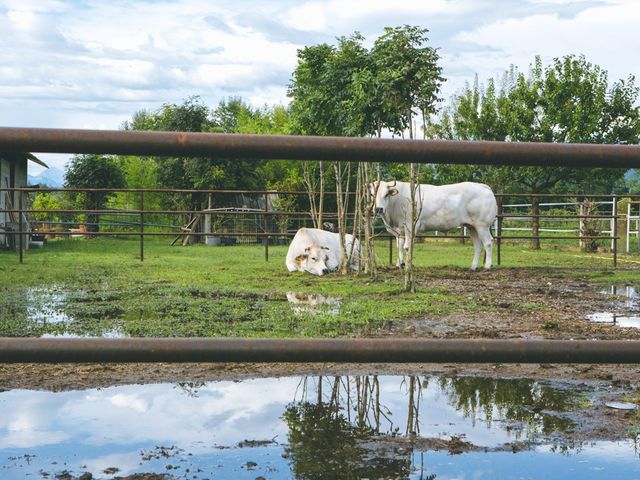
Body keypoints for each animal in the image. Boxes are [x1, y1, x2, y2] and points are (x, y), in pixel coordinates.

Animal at [370, 180, 500, 270]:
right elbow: (400, 247)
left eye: (386, 194)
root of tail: (482, 186)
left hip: (482, 225)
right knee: (478, 245)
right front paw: (399, 265)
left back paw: (487, 266)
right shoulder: (399, 231)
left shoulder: (410, 227)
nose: (378, 209)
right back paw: (472, 267)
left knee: (488, 242)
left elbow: (407, 247)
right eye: (372, 194)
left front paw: (408, 266)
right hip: (471, 226)